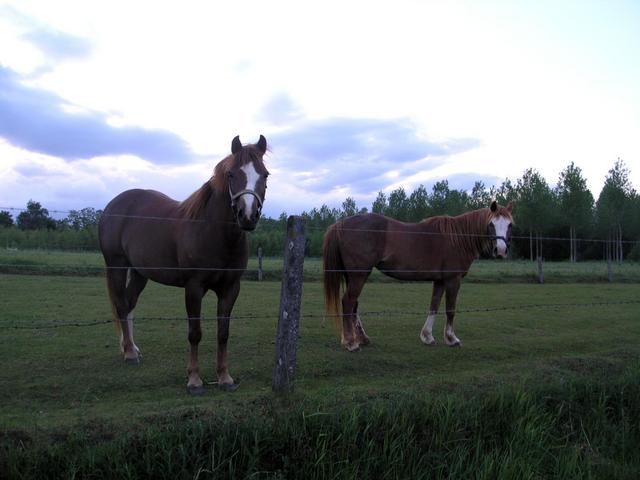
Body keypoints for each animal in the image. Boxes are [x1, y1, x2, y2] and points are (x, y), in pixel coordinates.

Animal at [99, 135, 268, 394]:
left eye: (265, 175)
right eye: (231, 174)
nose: (247, 216)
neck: (213, 231)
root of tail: (113, 206)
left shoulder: (230, 288)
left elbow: (223, 333)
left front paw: (224, 377)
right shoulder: (194, 287)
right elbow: (195, 333)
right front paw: (194, 380)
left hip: (139, 273)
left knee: (128, 305)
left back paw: (132, 349)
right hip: (117, 266)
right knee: (120, 305)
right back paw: (129, 353)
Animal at [324, 201, 516, 350]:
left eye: (510, 225)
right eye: (491, 224)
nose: (500, 251)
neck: (458, 237)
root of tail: (339, 224)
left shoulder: (440, 281)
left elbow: (434, 306)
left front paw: (427, 337)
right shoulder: (452, 280)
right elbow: (450, 309)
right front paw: (452, 339)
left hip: (353, 275)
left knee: (353, 305)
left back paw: (361, 338)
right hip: (359, 275)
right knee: (348, 302)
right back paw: (351, 343)